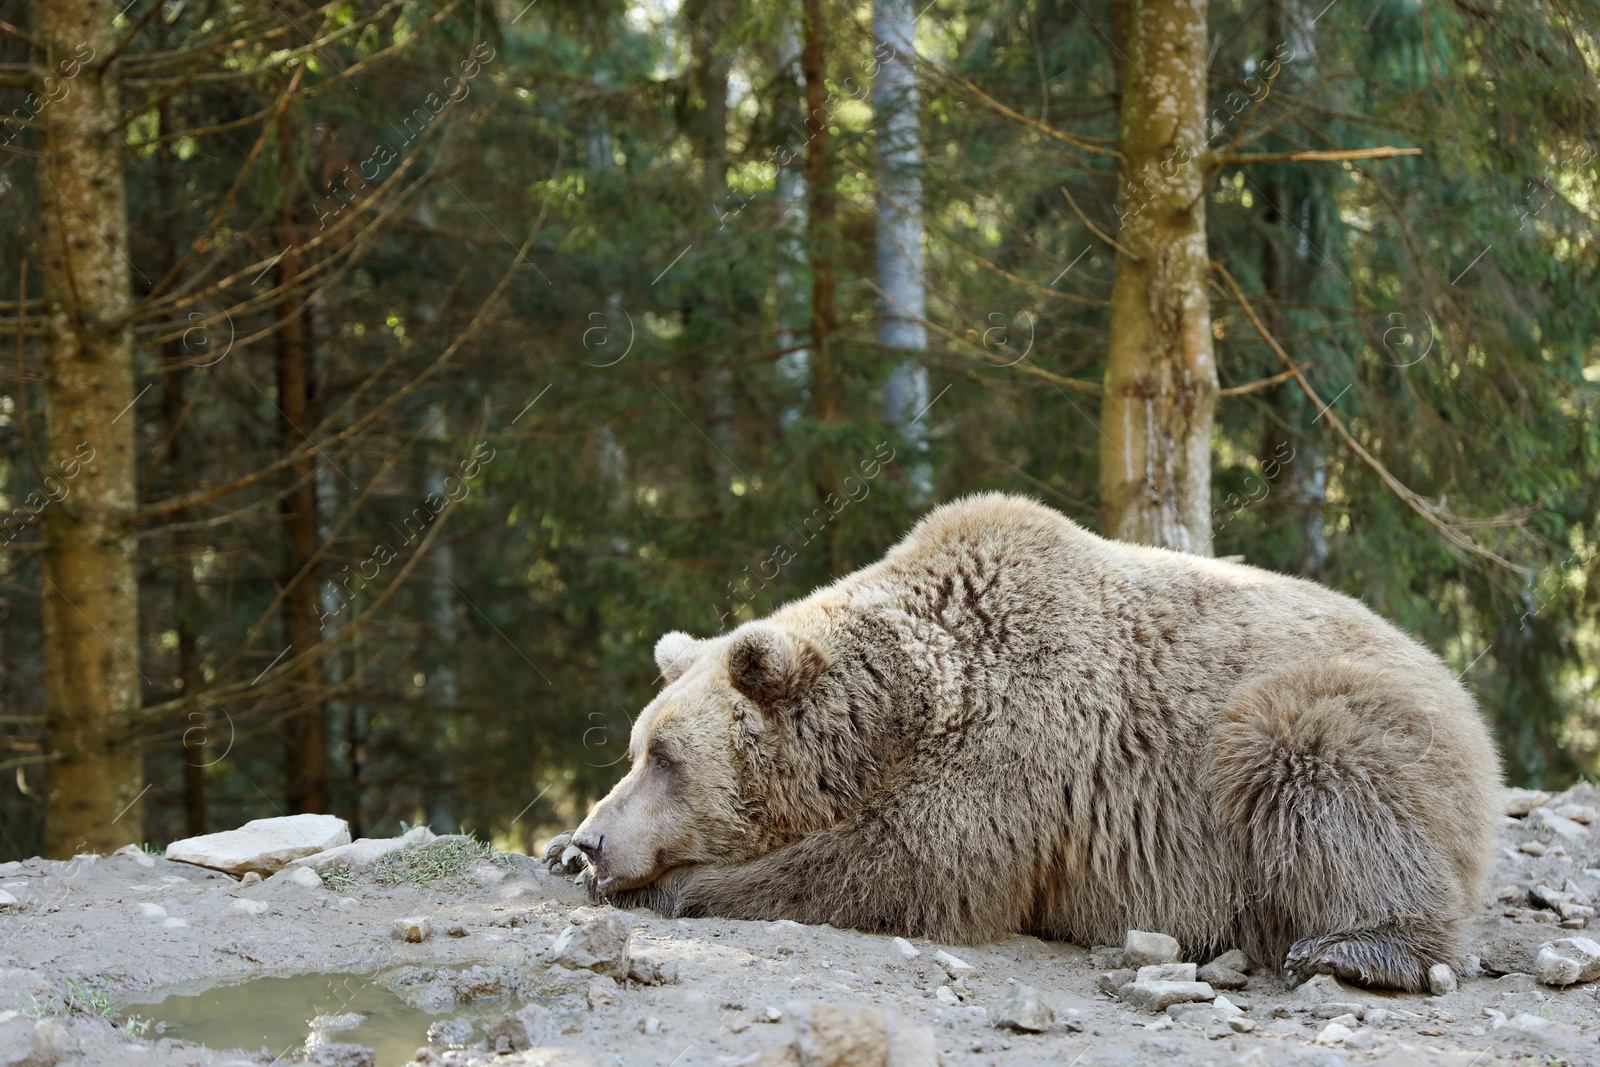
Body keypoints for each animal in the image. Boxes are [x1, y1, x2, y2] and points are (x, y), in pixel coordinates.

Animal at [563, 495, 1497, 991]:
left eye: (667, 757)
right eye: (636, 748)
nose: (593, 837)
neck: (899, 710)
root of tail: (1459, 690)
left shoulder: (1019, 752)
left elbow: (905, 866)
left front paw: (677, 886)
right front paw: (561, 853)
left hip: (1328, 713)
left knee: (1305, 757)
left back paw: (1358, 947)